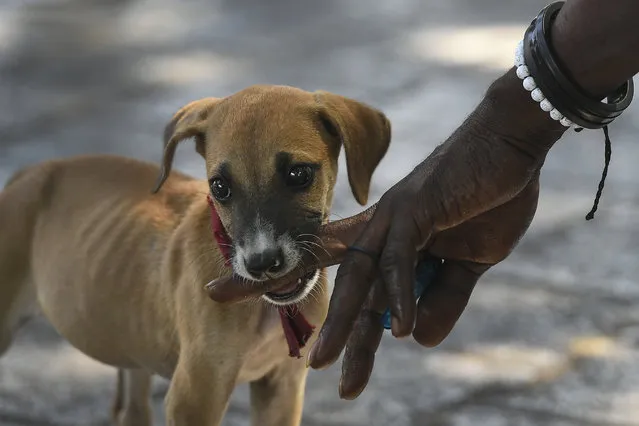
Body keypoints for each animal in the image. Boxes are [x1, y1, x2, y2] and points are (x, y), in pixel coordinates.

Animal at [0, 85, 390, 424]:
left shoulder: (282, 386)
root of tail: (25, 173)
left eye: (298, 174)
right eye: (219, 187)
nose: (261, 264)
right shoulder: (195, 395)